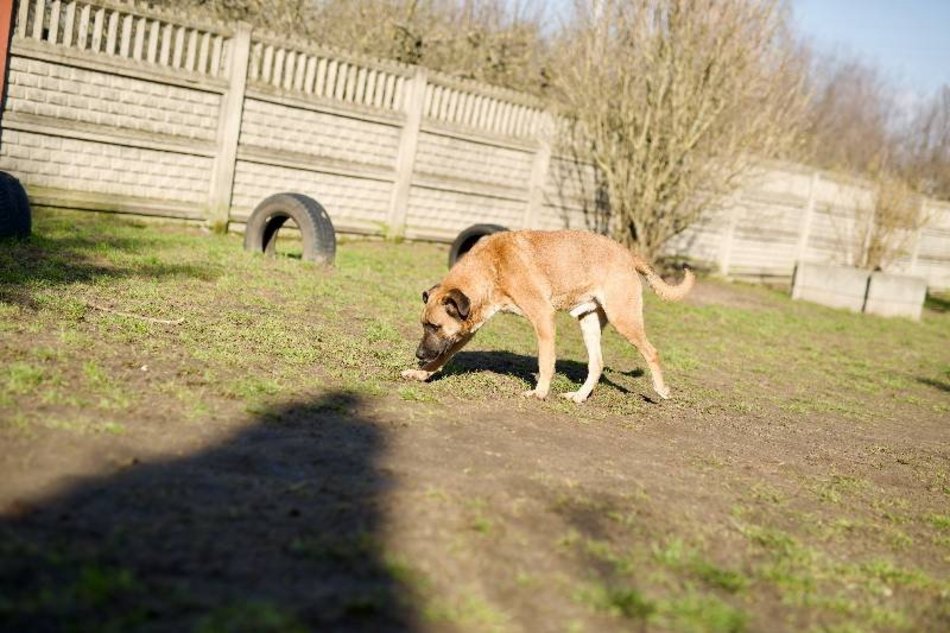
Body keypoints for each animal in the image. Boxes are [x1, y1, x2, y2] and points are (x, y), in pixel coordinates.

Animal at [404, 230, 700, 402]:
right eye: (424, 325)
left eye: (434, 326)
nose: (418, 354)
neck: (492, 267)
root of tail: (627, 254)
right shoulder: (469, 327)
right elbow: (443, 357)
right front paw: (421, 373)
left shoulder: (543, 317)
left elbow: (546, 362)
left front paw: (540, 392)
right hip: (589, 320)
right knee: (597, 363)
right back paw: (580, 396)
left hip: (624, 319)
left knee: (652, 352)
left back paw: (661, 390)